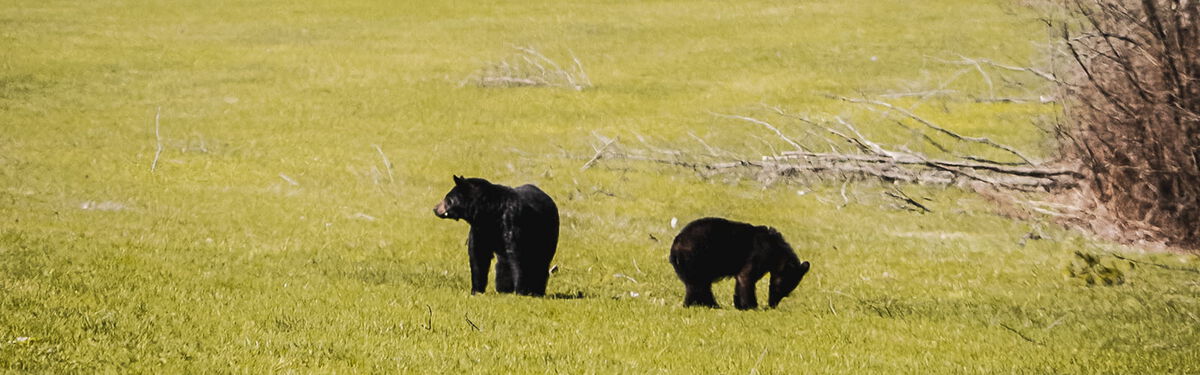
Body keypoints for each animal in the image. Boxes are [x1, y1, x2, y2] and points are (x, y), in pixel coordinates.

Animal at [672, 216, 811, 310]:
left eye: (786, 293)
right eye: (781, 288)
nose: (772, 305)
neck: (775, 251)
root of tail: (676, 242)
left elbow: (740, 281)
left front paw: (739, 305)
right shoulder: (758, 255)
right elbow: (746, 277)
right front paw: (752, 306)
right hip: (695, 259)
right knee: (698, 285)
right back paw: (705, 305)